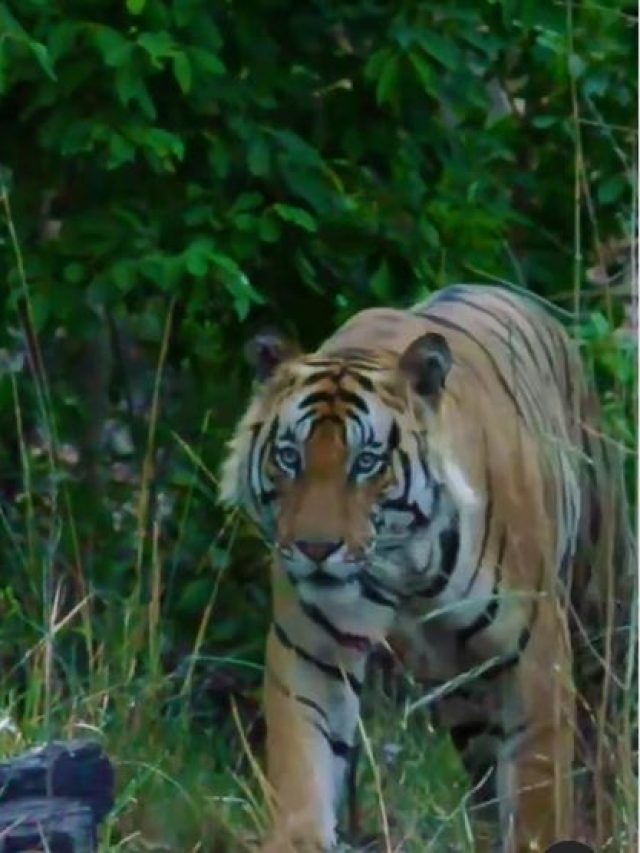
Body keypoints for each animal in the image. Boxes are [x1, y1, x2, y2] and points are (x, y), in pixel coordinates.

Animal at [219, 283, 634, 852]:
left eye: (366, 462)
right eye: (288, 457)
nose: (315, 549)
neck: (404, 566)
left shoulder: (535, 658)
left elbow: (538, 794)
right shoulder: (312, 651)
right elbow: (304, 769)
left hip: (598, 617)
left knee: (603, 743)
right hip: (465, 694)